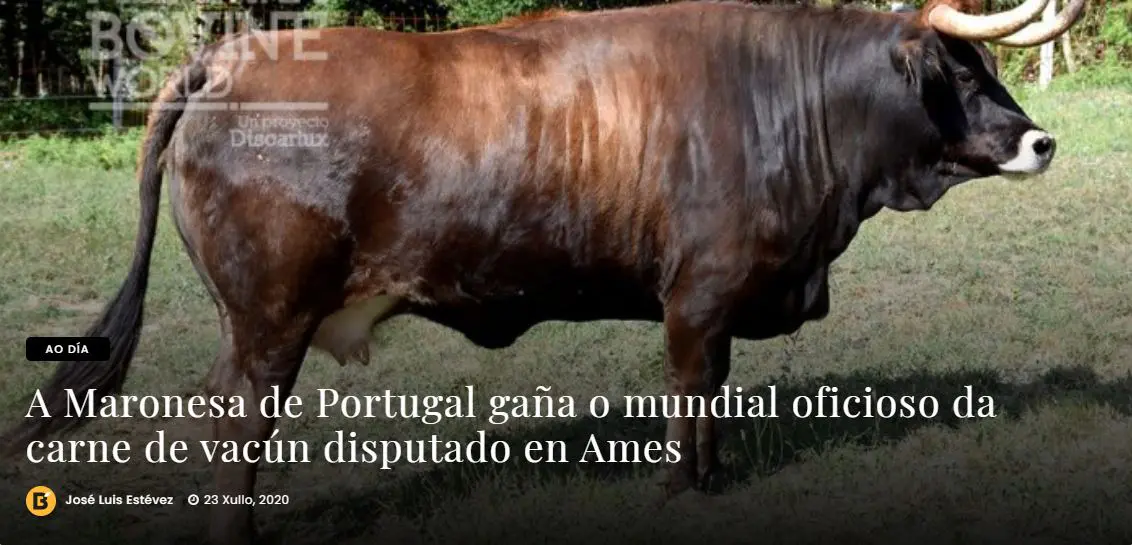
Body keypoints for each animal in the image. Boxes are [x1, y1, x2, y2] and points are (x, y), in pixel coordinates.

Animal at [3, 0, 1086, 542]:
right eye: (959, 71)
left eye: (987, 68)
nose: (1041, 141)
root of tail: (231, 58)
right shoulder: (697, 294)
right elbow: (690, 389)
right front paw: (677, 489)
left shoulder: (720, 302)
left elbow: (715, 397)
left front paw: (710, 482)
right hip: (268, 315)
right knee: (238, 414)